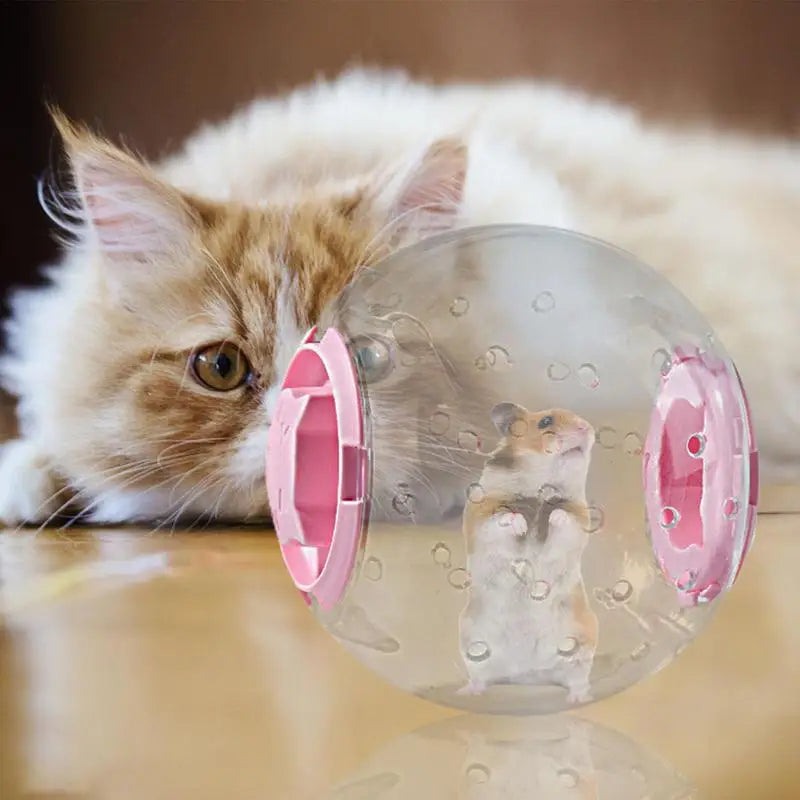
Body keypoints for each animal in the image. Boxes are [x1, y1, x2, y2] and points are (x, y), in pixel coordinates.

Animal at [458, 402, 598, 703]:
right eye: (546, 422)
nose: (586, 427)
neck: (541, 488)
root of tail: (526, 676)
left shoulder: (579, 517)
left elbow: (564, 518)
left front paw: (553, 516)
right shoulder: (481, 512)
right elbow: (502, 519)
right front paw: (521, 523)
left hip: (582, 643)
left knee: (577, 680)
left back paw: (579, 698)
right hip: (473, 643)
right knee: (479, 678)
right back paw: (466, 693)